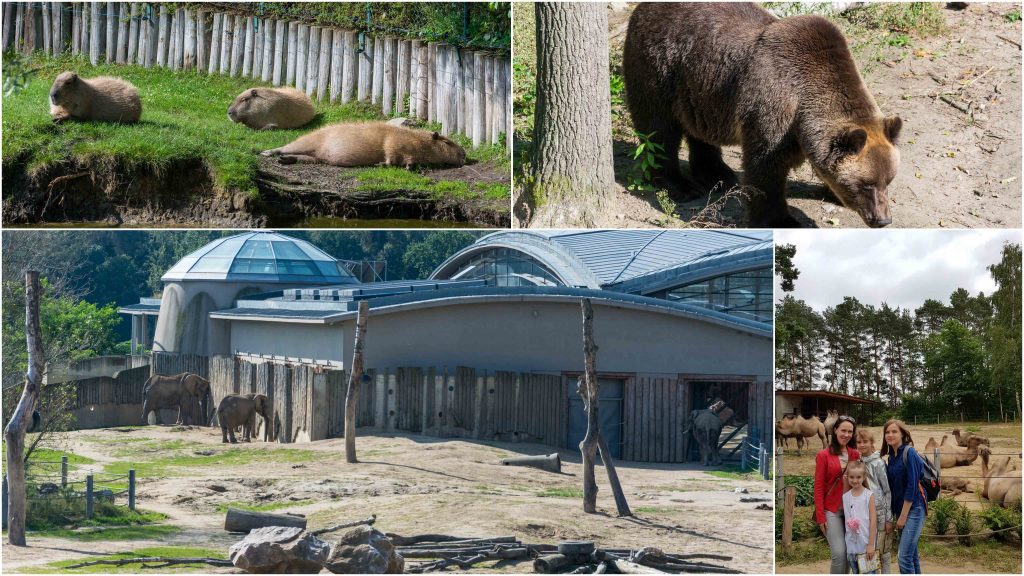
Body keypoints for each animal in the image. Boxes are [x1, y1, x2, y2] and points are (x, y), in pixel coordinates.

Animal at [618, 2, 901, 226]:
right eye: (866, 184)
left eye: (888, 180)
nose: (882, 219)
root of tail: (641, 8)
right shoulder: (774, 109)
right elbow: (765, 169)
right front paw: (782, 220)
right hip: (657, 70)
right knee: (658, 131)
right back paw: (679, 185)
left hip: (700, 91)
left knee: (699, 131)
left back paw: (717, 174)